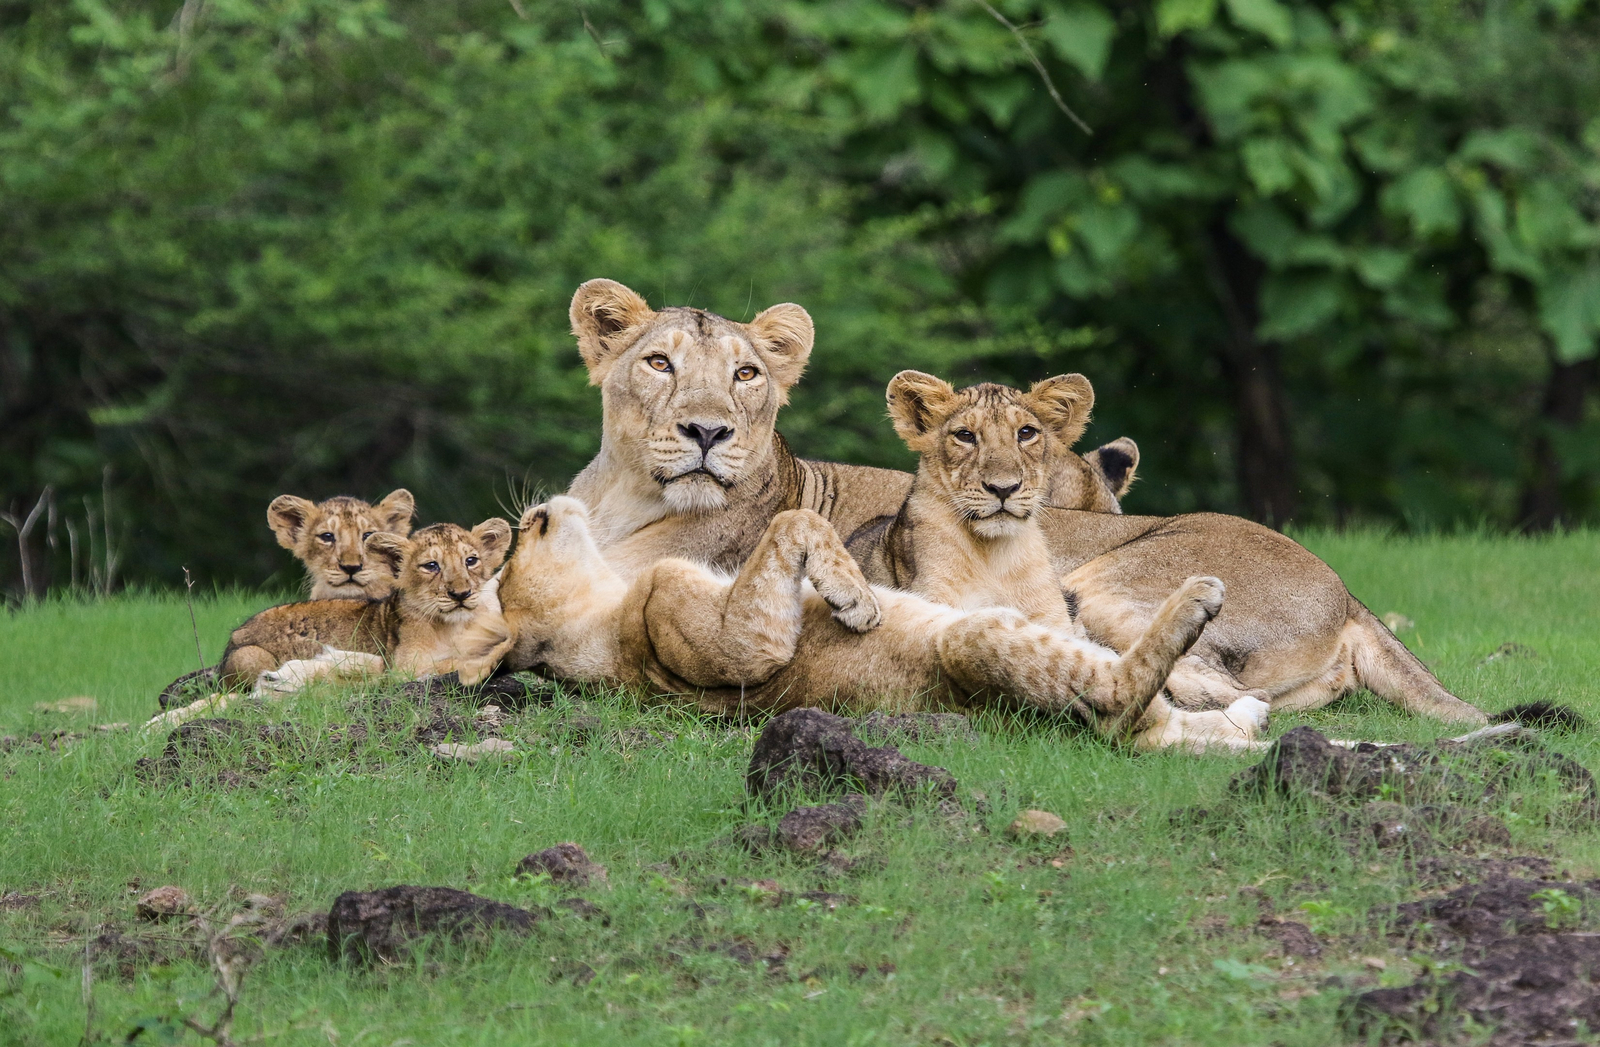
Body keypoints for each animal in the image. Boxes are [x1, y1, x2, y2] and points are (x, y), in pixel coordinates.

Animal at [149, 519, 512, 730]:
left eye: (471, 560)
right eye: (431, 566)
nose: (461, 593)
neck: (456, 625)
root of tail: (234, 638)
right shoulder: (404, 667)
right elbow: (451, 662)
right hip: (252, 656)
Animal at [472, 496, 1254, 751]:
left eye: (505, 564)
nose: (532, 511)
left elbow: (798, 524)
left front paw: (846, 585)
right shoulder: (727, 643)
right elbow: (793, 521)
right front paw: (856, 599)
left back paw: (1245, 716)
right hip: (973, 640)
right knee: (1115, 706)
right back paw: (1197, 601)